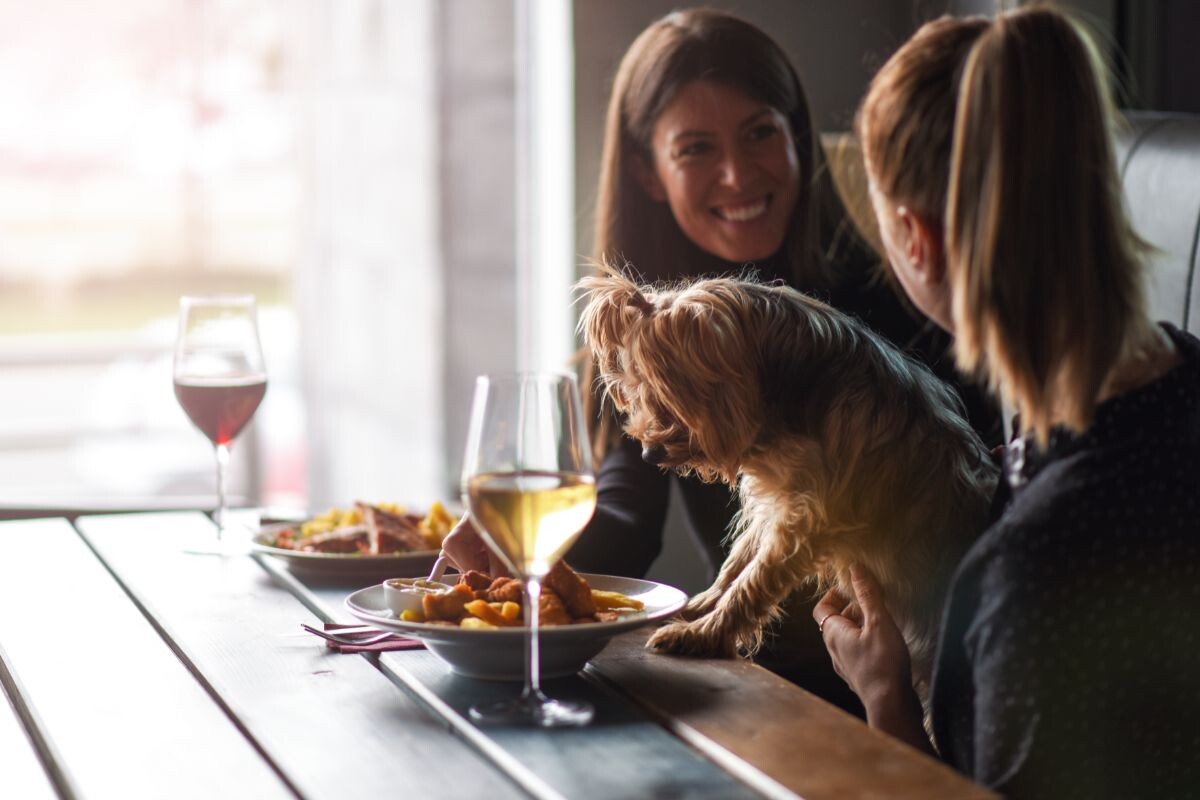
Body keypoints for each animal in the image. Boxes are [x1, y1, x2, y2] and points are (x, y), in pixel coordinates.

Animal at [576, 271, 998, 695]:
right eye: (636, 391)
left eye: (662, 393)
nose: (648, 454)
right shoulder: (777, 501)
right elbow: (737, 563)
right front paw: (700, 606)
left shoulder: (809, 515)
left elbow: (754, 579)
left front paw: (703, 634)